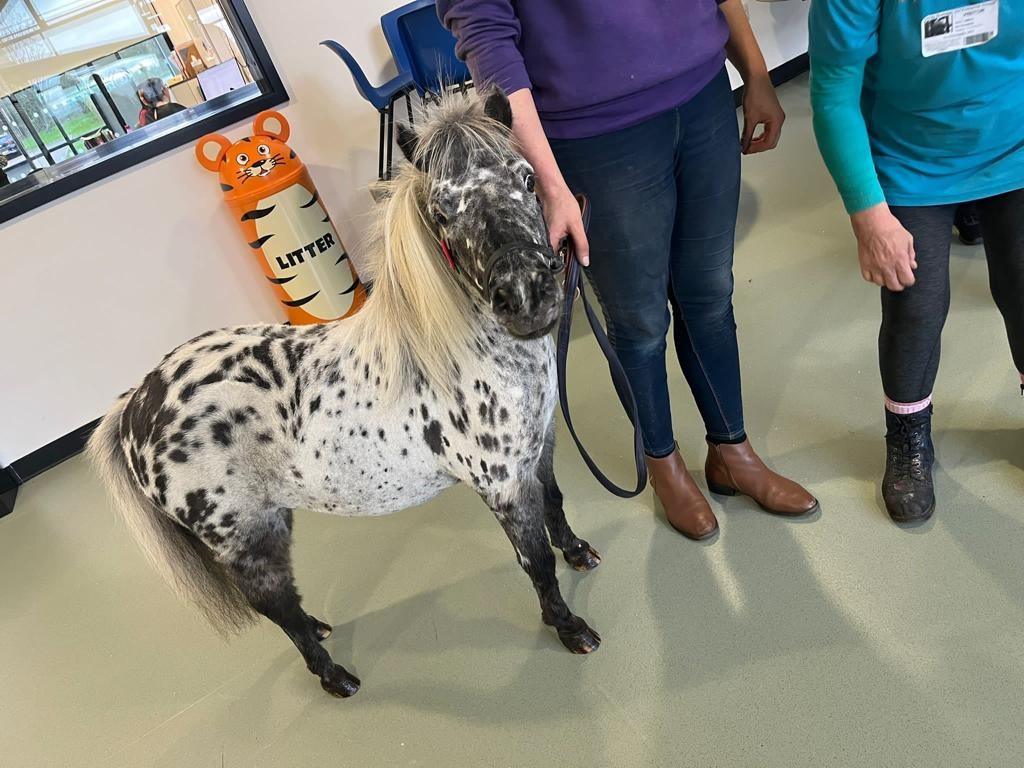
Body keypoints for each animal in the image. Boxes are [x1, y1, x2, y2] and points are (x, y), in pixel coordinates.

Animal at [86, 89, 602, 698]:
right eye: (443, 213)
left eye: (526, 177)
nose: (526, 296)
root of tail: (138, 404)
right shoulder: (500, 485)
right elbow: (537, 562)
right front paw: (569, 628)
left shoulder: (538, 451)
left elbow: (556, 505)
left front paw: (580, 553)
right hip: (246, 538)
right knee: (277, 609)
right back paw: (334, 677)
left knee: (288, 605)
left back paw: (321, 630)